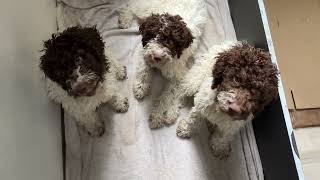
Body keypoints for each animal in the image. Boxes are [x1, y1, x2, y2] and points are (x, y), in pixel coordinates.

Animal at [119, 0, 206, 129]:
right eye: (152, 35)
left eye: (171, 41)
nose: (157, 56)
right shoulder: (145, 51)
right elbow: (144, 69)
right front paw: (141, 87)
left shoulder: (178, 76)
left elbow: (168, 96)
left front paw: (157, 115)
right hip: (146, 8)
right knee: (131, 5)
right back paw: (124, 19)